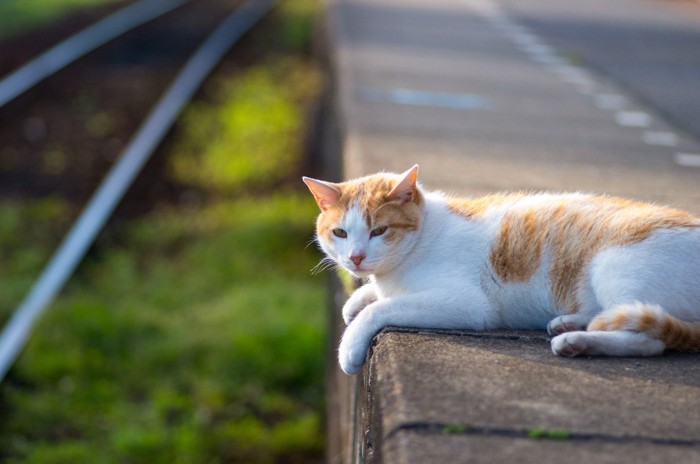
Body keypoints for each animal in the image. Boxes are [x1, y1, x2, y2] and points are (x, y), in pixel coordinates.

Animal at [304, 165, 700, 376]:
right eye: (340, 233)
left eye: (379, 231)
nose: (355, 258)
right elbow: (369, 298)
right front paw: (356, 298)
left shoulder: (466, 303)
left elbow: (380, 309)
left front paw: (350, 344)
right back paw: (571, 323)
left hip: (612, 266)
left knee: (648, 339)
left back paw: (576, 341)